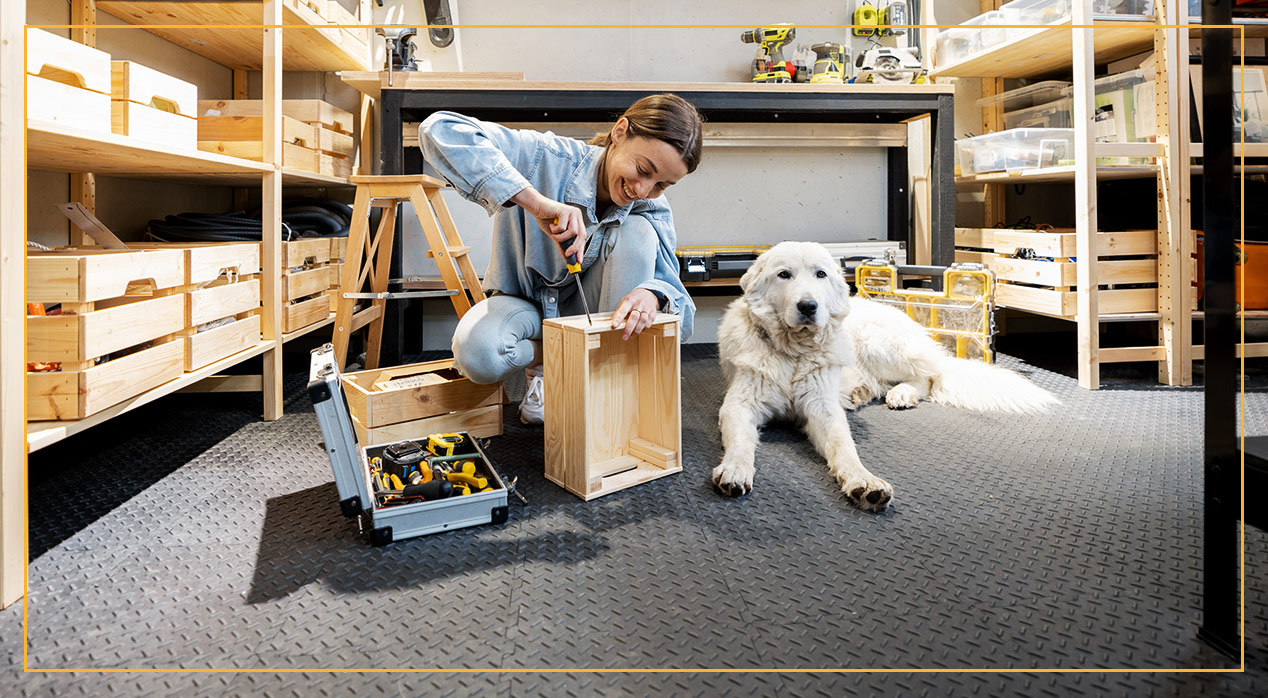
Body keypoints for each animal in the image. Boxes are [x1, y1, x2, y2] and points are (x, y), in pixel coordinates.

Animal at [715, 243, 1060, 512]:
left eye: (820, 274)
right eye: (783, 274)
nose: (808, 306)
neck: (793, 352)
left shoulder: (823, 409)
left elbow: (844, 447)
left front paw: (864, 482)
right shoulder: (738, 407)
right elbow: (741, 443)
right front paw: (734, 469)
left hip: (879, 344)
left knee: (930, 376)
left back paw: (902, 394)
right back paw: (865, 393)